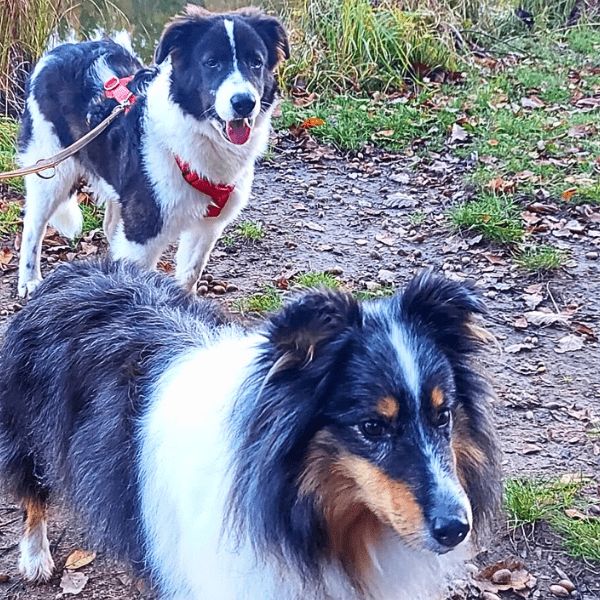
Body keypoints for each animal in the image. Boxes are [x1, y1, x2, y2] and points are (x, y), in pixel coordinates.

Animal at [0, 259, 501, 599]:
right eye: (372, 427)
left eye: (443, 416)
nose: (456, 529)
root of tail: (74, 269)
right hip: (28, 437)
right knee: (32, 495)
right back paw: (35, 557)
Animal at [16, 5, 289, 298]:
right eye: (212, 62)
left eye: (256, 62)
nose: (244, 103)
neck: (200, 134)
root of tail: (55, 52)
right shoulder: (143, 233)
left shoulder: (207, 226)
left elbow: (190, 273)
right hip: (51, 170)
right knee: (33, 226)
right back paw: (29, 279)